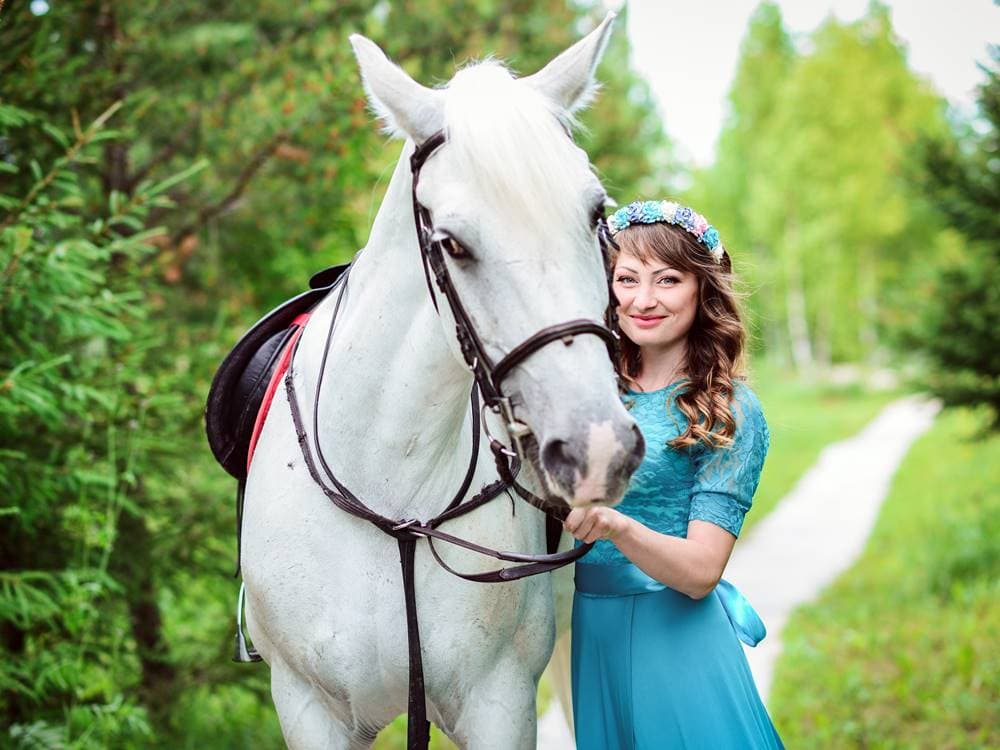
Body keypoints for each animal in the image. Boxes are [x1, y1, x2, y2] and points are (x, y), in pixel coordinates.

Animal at [240, 14, 643, 748]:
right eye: (453, 243)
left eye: (596, 214)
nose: (597, 446)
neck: (389, 496)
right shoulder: (308, 705)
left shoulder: (498, 703)